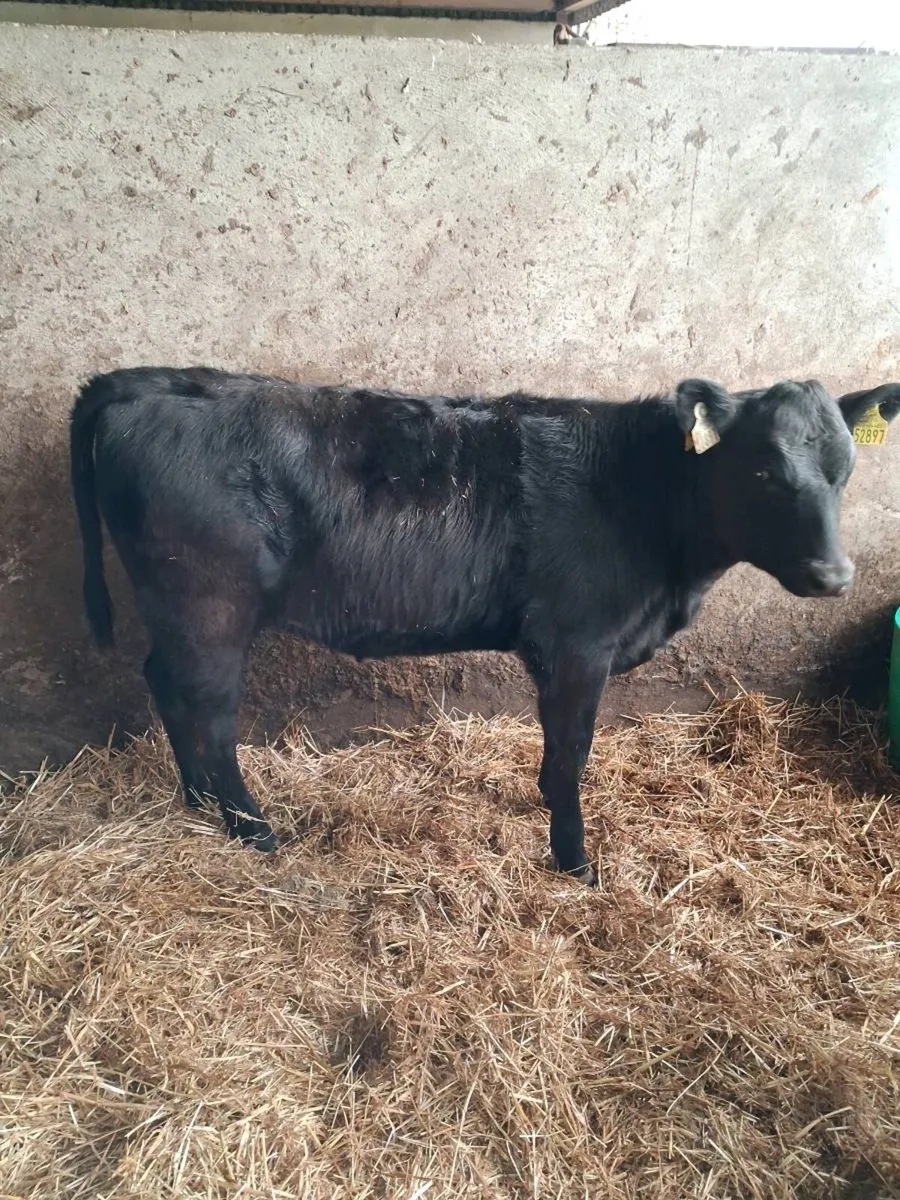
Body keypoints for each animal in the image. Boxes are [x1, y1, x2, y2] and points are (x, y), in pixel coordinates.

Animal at [69, 368, 900, 884]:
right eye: (762, 469)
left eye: (846, 470)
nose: (834, 575)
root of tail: (145, 378)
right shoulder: (577, 643)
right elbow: (572, 754)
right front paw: (575, 861)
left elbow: (557, 755)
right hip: (210, 608)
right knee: (208, 714)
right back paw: (251, 828)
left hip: (181, 613)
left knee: (166, 687)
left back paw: (196, 804)